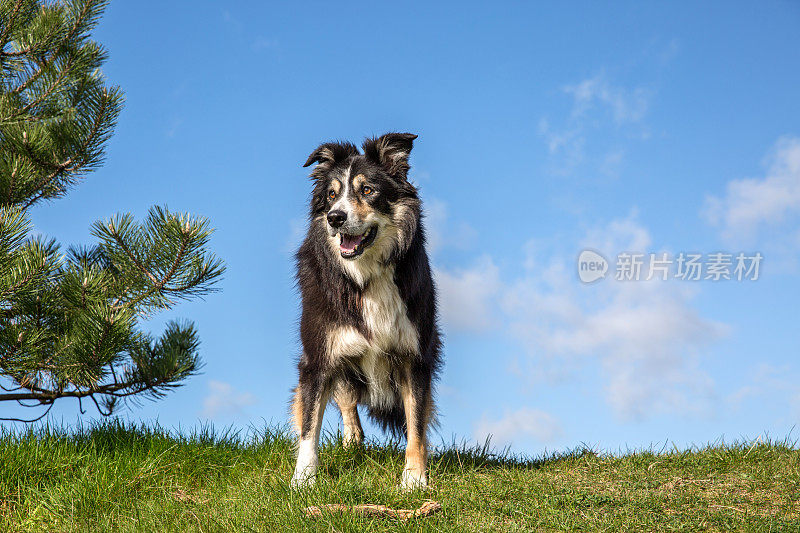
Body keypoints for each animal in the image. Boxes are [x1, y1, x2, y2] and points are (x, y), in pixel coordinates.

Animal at [294, 131, 440, 488]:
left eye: (368, 190)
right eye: (332, 195)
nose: (335, 217)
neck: (366, 274)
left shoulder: (415, 356)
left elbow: (416, 423)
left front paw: (414, 479)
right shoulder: (319, 356)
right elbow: (309, 423)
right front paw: (303, 481)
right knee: (345, 403)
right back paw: (351, 443)